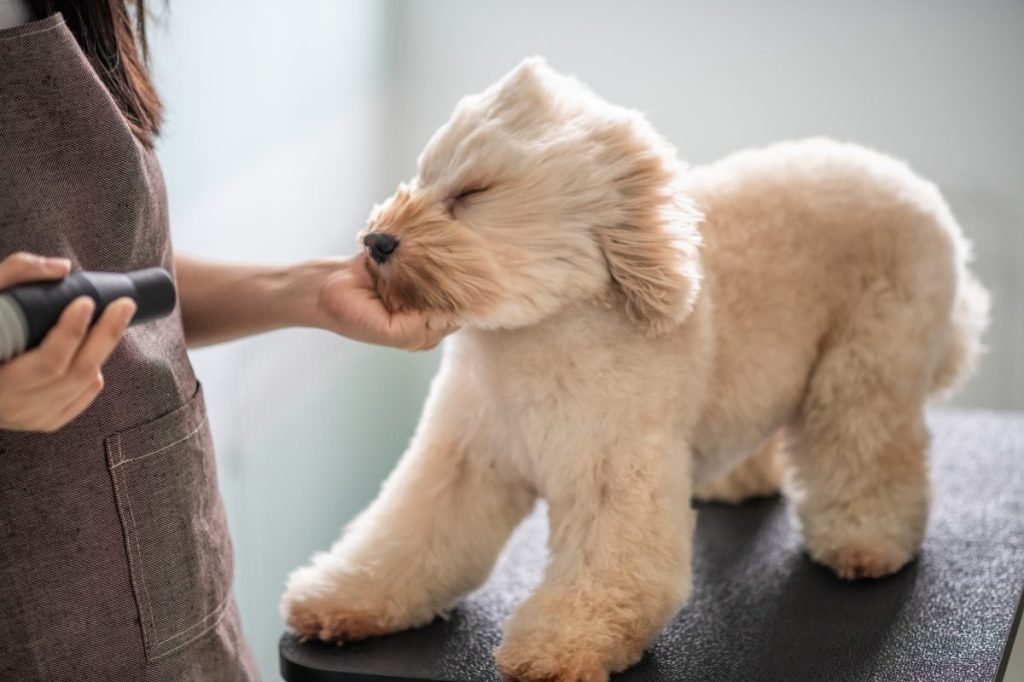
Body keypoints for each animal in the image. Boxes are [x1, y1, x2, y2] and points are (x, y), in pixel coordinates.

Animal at [282, 55, 991, 675]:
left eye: (472, 192)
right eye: (421, 177)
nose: (376, 241)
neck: (536, 336)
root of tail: (906, 180)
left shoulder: (615, 476)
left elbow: (607, 578)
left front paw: (558, 648)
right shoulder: (463, 460)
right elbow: (406, 539)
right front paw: (344, 600)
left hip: (868, 364)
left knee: (869, 447)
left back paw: (867, 543)